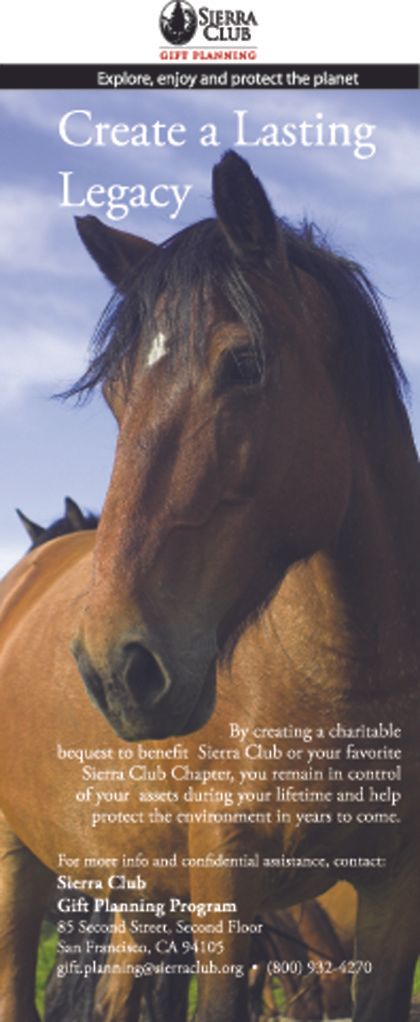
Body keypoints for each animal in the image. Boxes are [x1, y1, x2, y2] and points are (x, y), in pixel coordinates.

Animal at [0, 153, 418, 1021]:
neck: (341, 679)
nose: (115, 668)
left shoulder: (396, 890)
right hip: (20, 864)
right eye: (116, 395)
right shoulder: (229, 885)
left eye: (245, 363)